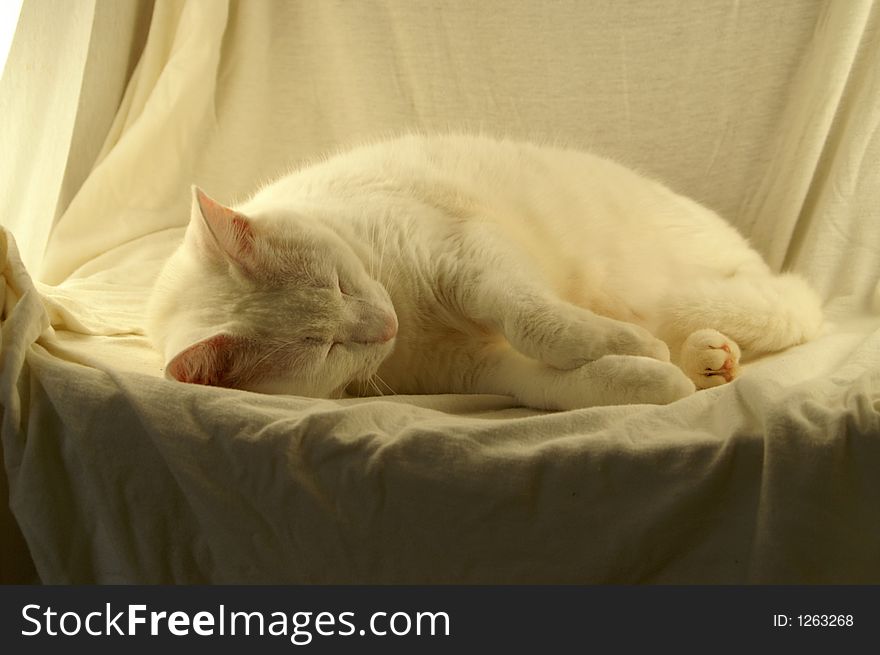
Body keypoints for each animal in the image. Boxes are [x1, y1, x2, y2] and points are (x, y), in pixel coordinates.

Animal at [146, 133, 824, 410]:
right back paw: (706, 361)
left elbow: (538, 321)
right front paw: (646, 376)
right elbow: (554, 383)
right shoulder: (473, 369)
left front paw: (621, 342)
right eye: (324, 347)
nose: (382, 326)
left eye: (338, 283)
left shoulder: (468, 256)